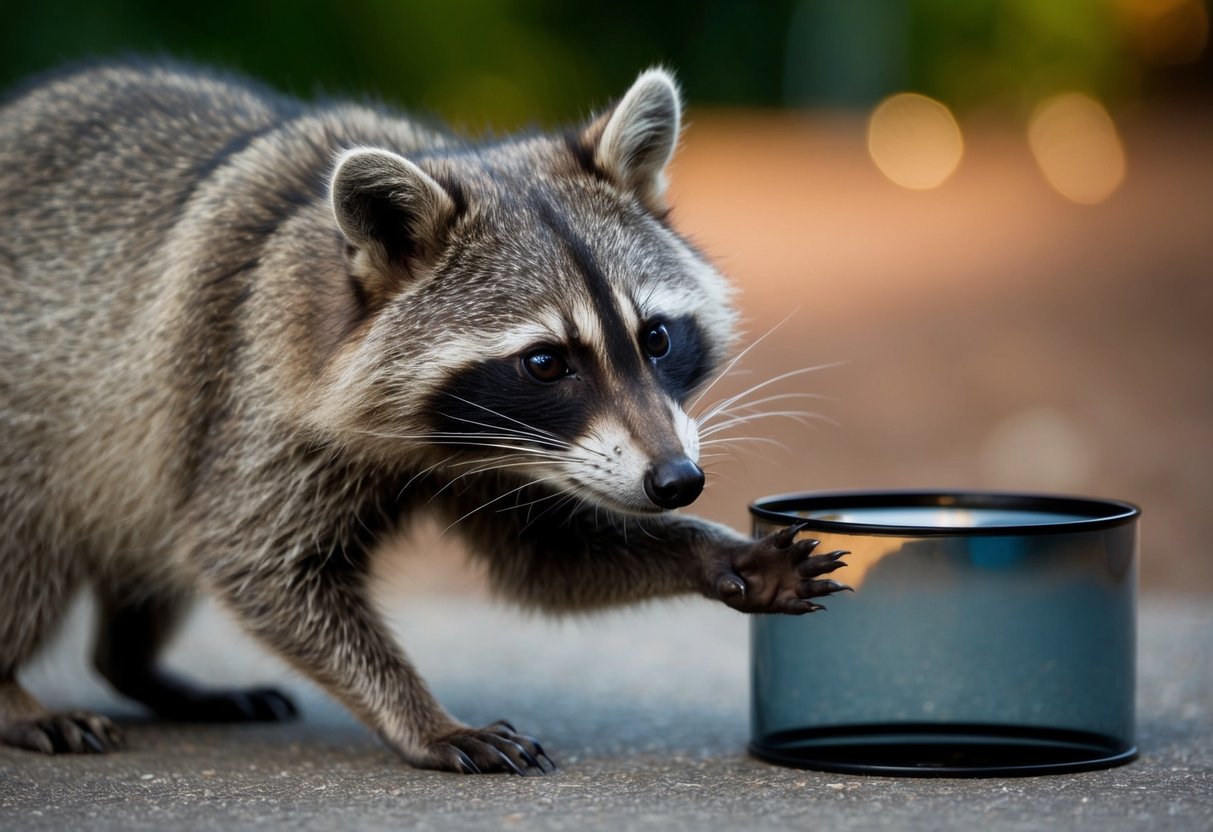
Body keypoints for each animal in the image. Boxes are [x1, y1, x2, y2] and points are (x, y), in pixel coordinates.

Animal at [0, 62, 849, 773]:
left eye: (657, 337)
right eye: (546, 362)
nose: (677, 483)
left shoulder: (519, 452)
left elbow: (547, 558)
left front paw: (713, 553)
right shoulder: (250, 395)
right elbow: (256, 560)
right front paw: (418, 714)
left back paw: (134, 665)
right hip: (53, 426)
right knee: (30, 551)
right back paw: (14, 691)